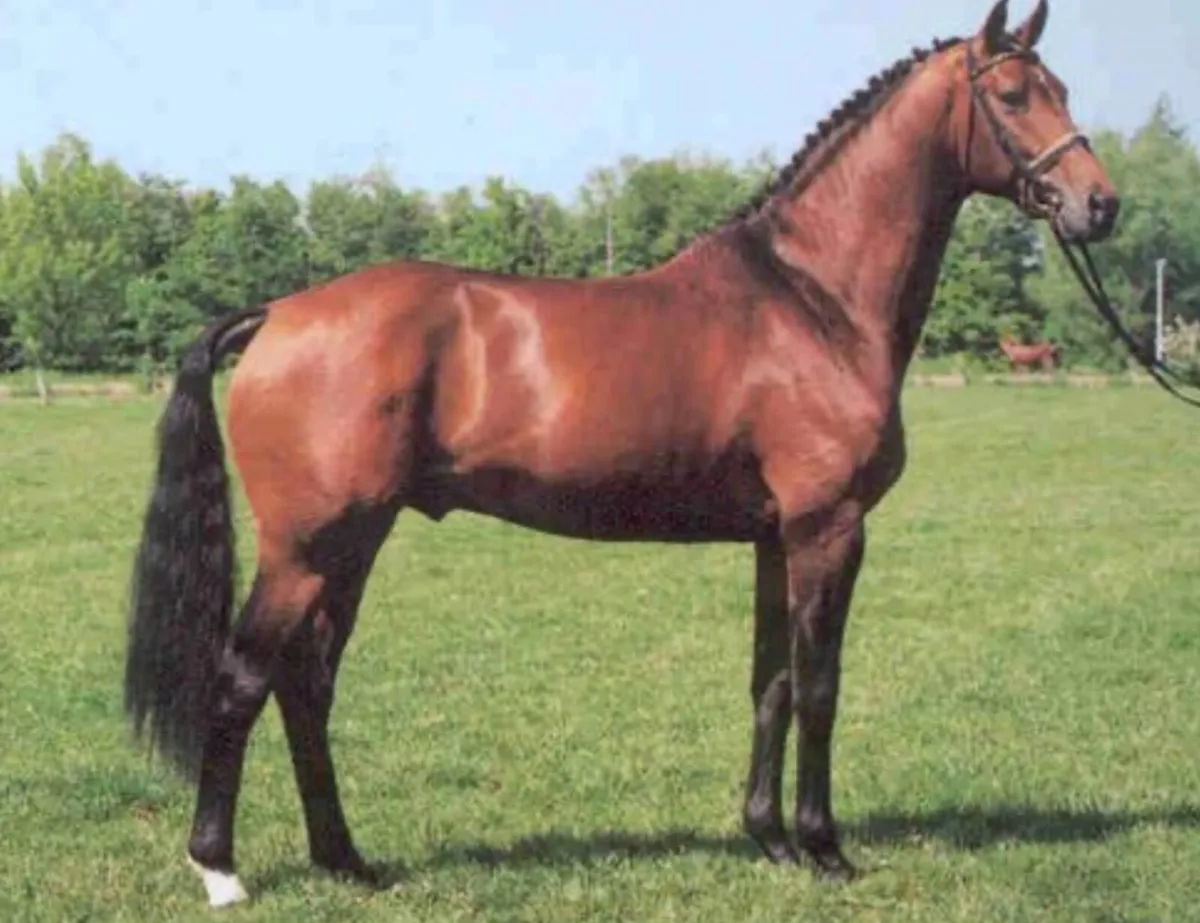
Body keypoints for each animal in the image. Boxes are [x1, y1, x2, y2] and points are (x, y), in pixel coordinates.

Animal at [123, 0, 1119, 907]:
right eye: (1016, 93)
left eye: (1066, 88)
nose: (1099, 204)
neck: (811, 299)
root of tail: (276, 315)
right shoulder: (827, 528)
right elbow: (821, 686)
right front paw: (824, 847)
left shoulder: (774, 537)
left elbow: (771, 682)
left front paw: (769, 839)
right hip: (306, 546)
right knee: (243, 679)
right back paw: (220, 868)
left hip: (352, 543)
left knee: (308, 683)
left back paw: (347, 861)